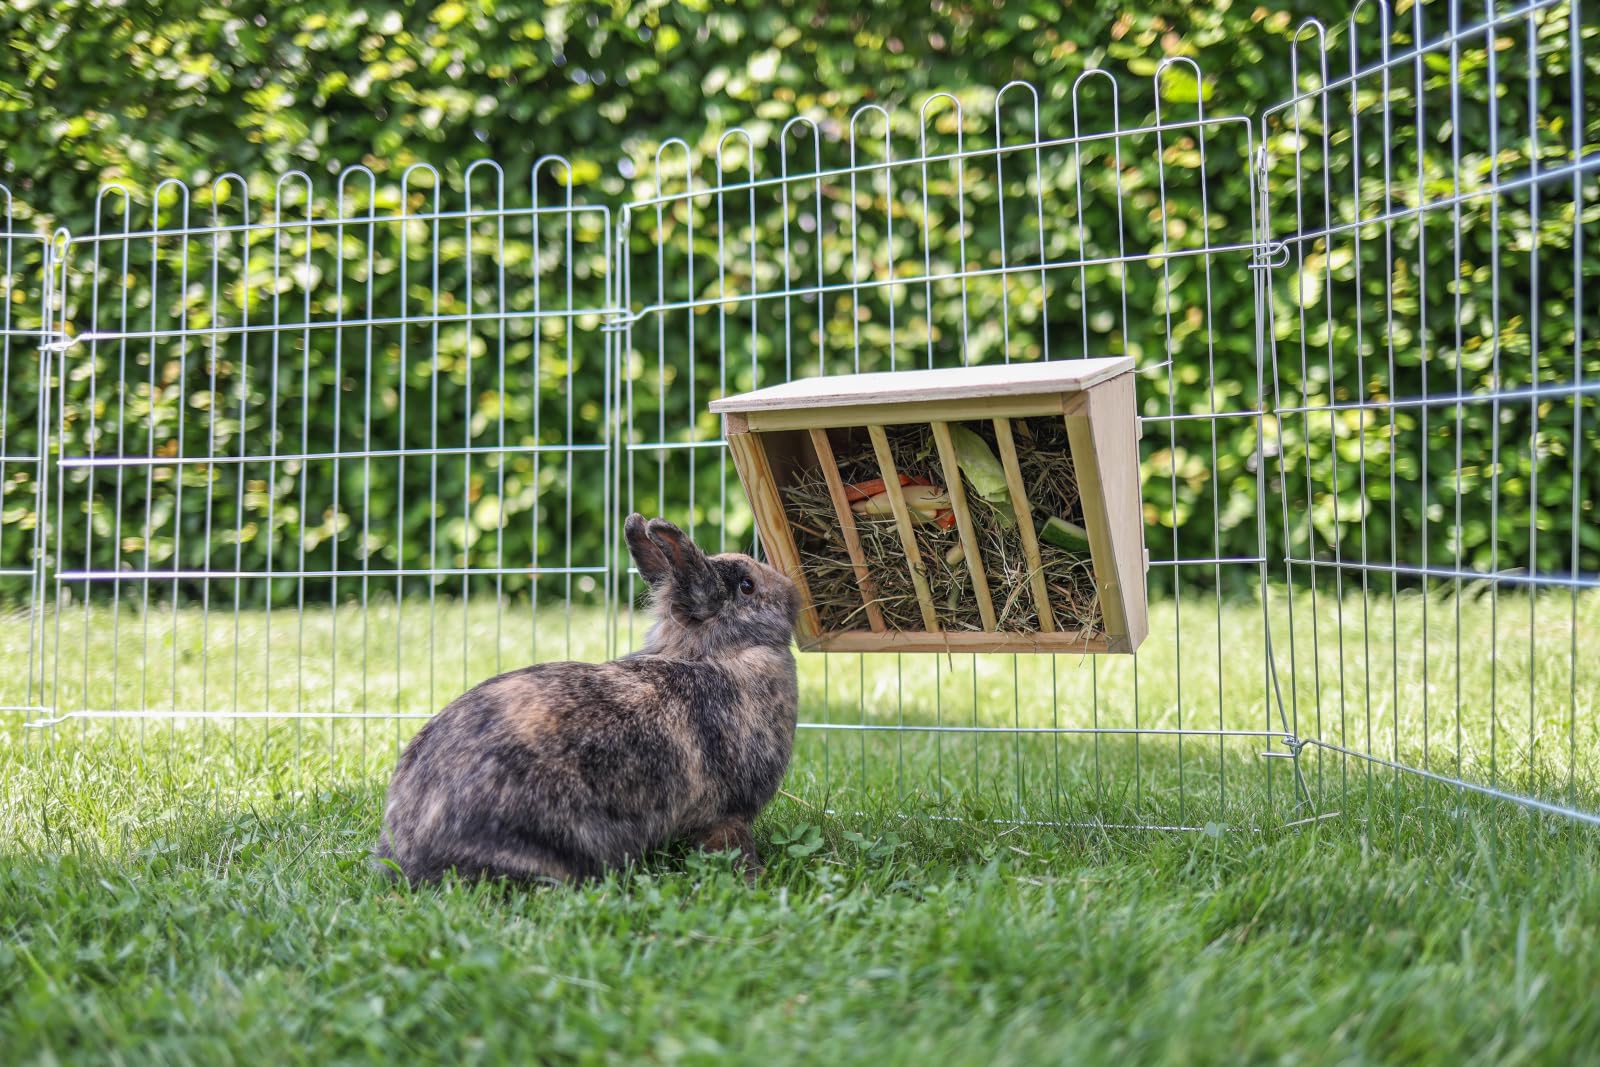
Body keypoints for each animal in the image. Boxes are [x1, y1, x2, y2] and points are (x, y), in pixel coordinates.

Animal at [374, 513, 801, 886]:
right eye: (747, 586)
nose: (793, 592)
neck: (718, 654)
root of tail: (409, 852)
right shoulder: (727, 816)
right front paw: (755, 878)